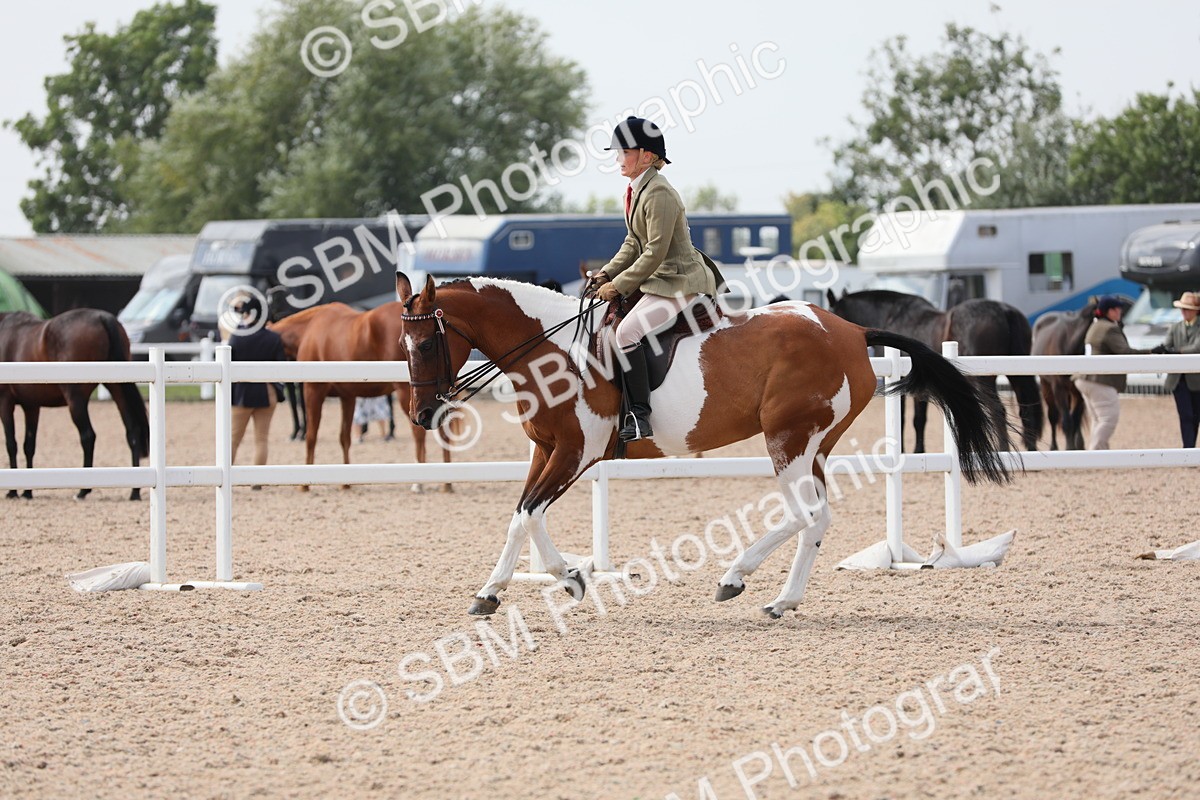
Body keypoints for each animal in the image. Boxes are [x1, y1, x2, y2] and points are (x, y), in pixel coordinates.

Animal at [0, 309, 150, 500]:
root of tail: (102, 317)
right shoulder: (31, 406)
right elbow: (29, 445)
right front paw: (27, 491)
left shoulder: (5, 402)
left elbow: (11, 444)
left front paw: (13, 491)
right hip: (117, 388)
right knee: (132, 431)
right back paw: (135, 491)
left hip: (76, 400)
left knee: (88, 436)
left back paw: (83, 490)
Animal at [268, 302, 454, 492]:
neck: (310, 329)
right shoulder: (347, 397)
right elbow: (344, 438)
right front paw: (345, 483)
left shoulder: (313, 392)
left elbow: (311, 437)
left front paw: (305, 485)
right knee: (443, 433)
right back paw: (447, 483)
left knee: (418, 433)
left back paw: (418, 483)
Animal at [396, 275, 1013, 619]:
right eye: (403, 343)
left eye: (425, 343)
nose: (423, 415)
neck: (552, 352)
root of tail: (850, 330)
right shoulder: (547, 451)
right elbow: (519, 517)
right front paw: (511, 588)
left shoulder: (576, 453)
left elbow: (527, 514)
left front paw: (562, 580)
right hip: (811, 444)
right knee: (816, 517)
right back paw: (772, 594)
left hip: (788, 438)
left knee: (805, 513)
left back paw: (743, 580)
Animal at [826, 289, 1043, 453]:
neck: (891, 316)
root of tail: (1004, 310)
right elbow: (920, 419)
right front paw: (919, 451)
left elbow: (905, 419)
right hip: (1016, 374)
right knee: (1025, 408)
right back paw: (1031, 448)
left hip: (984, 379)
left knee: (998, 409)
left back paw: (1002, 448)